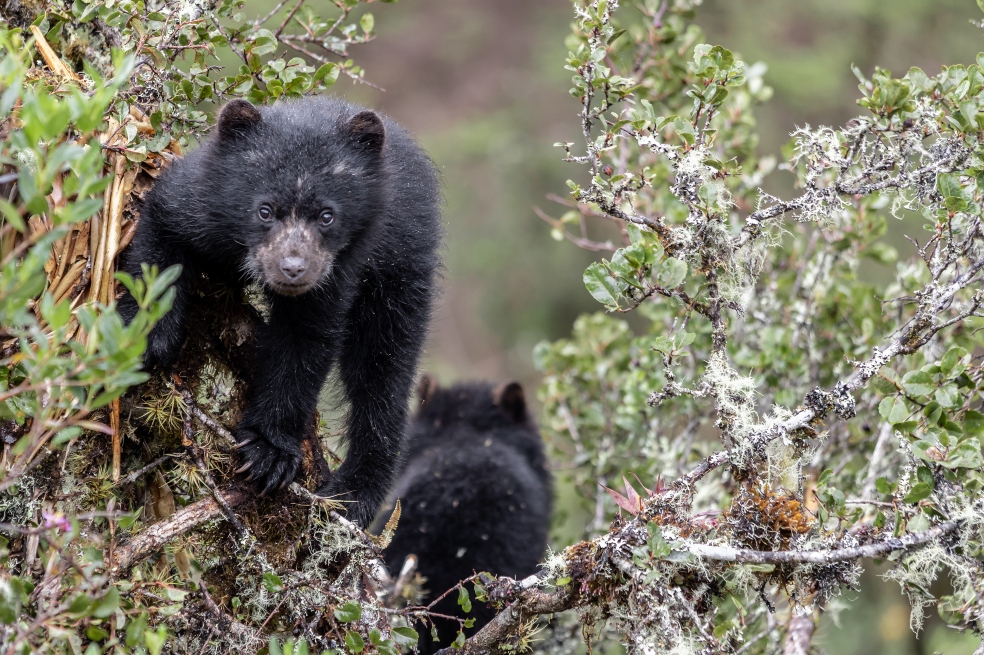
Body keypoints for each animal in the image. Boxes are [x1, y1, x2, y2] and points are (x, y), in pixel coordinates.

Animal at [118, 96, 442, 527]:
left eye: (327, 215)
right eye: (265, 210)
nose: (292, 269)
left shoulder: (341, 268)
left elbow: (304, 340)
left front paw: (268, 454)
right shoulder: (201, 202)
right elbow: (160, 235)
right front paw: (148, 337)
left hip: (401, 270)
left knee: (383, 371)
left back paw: (354, 495)